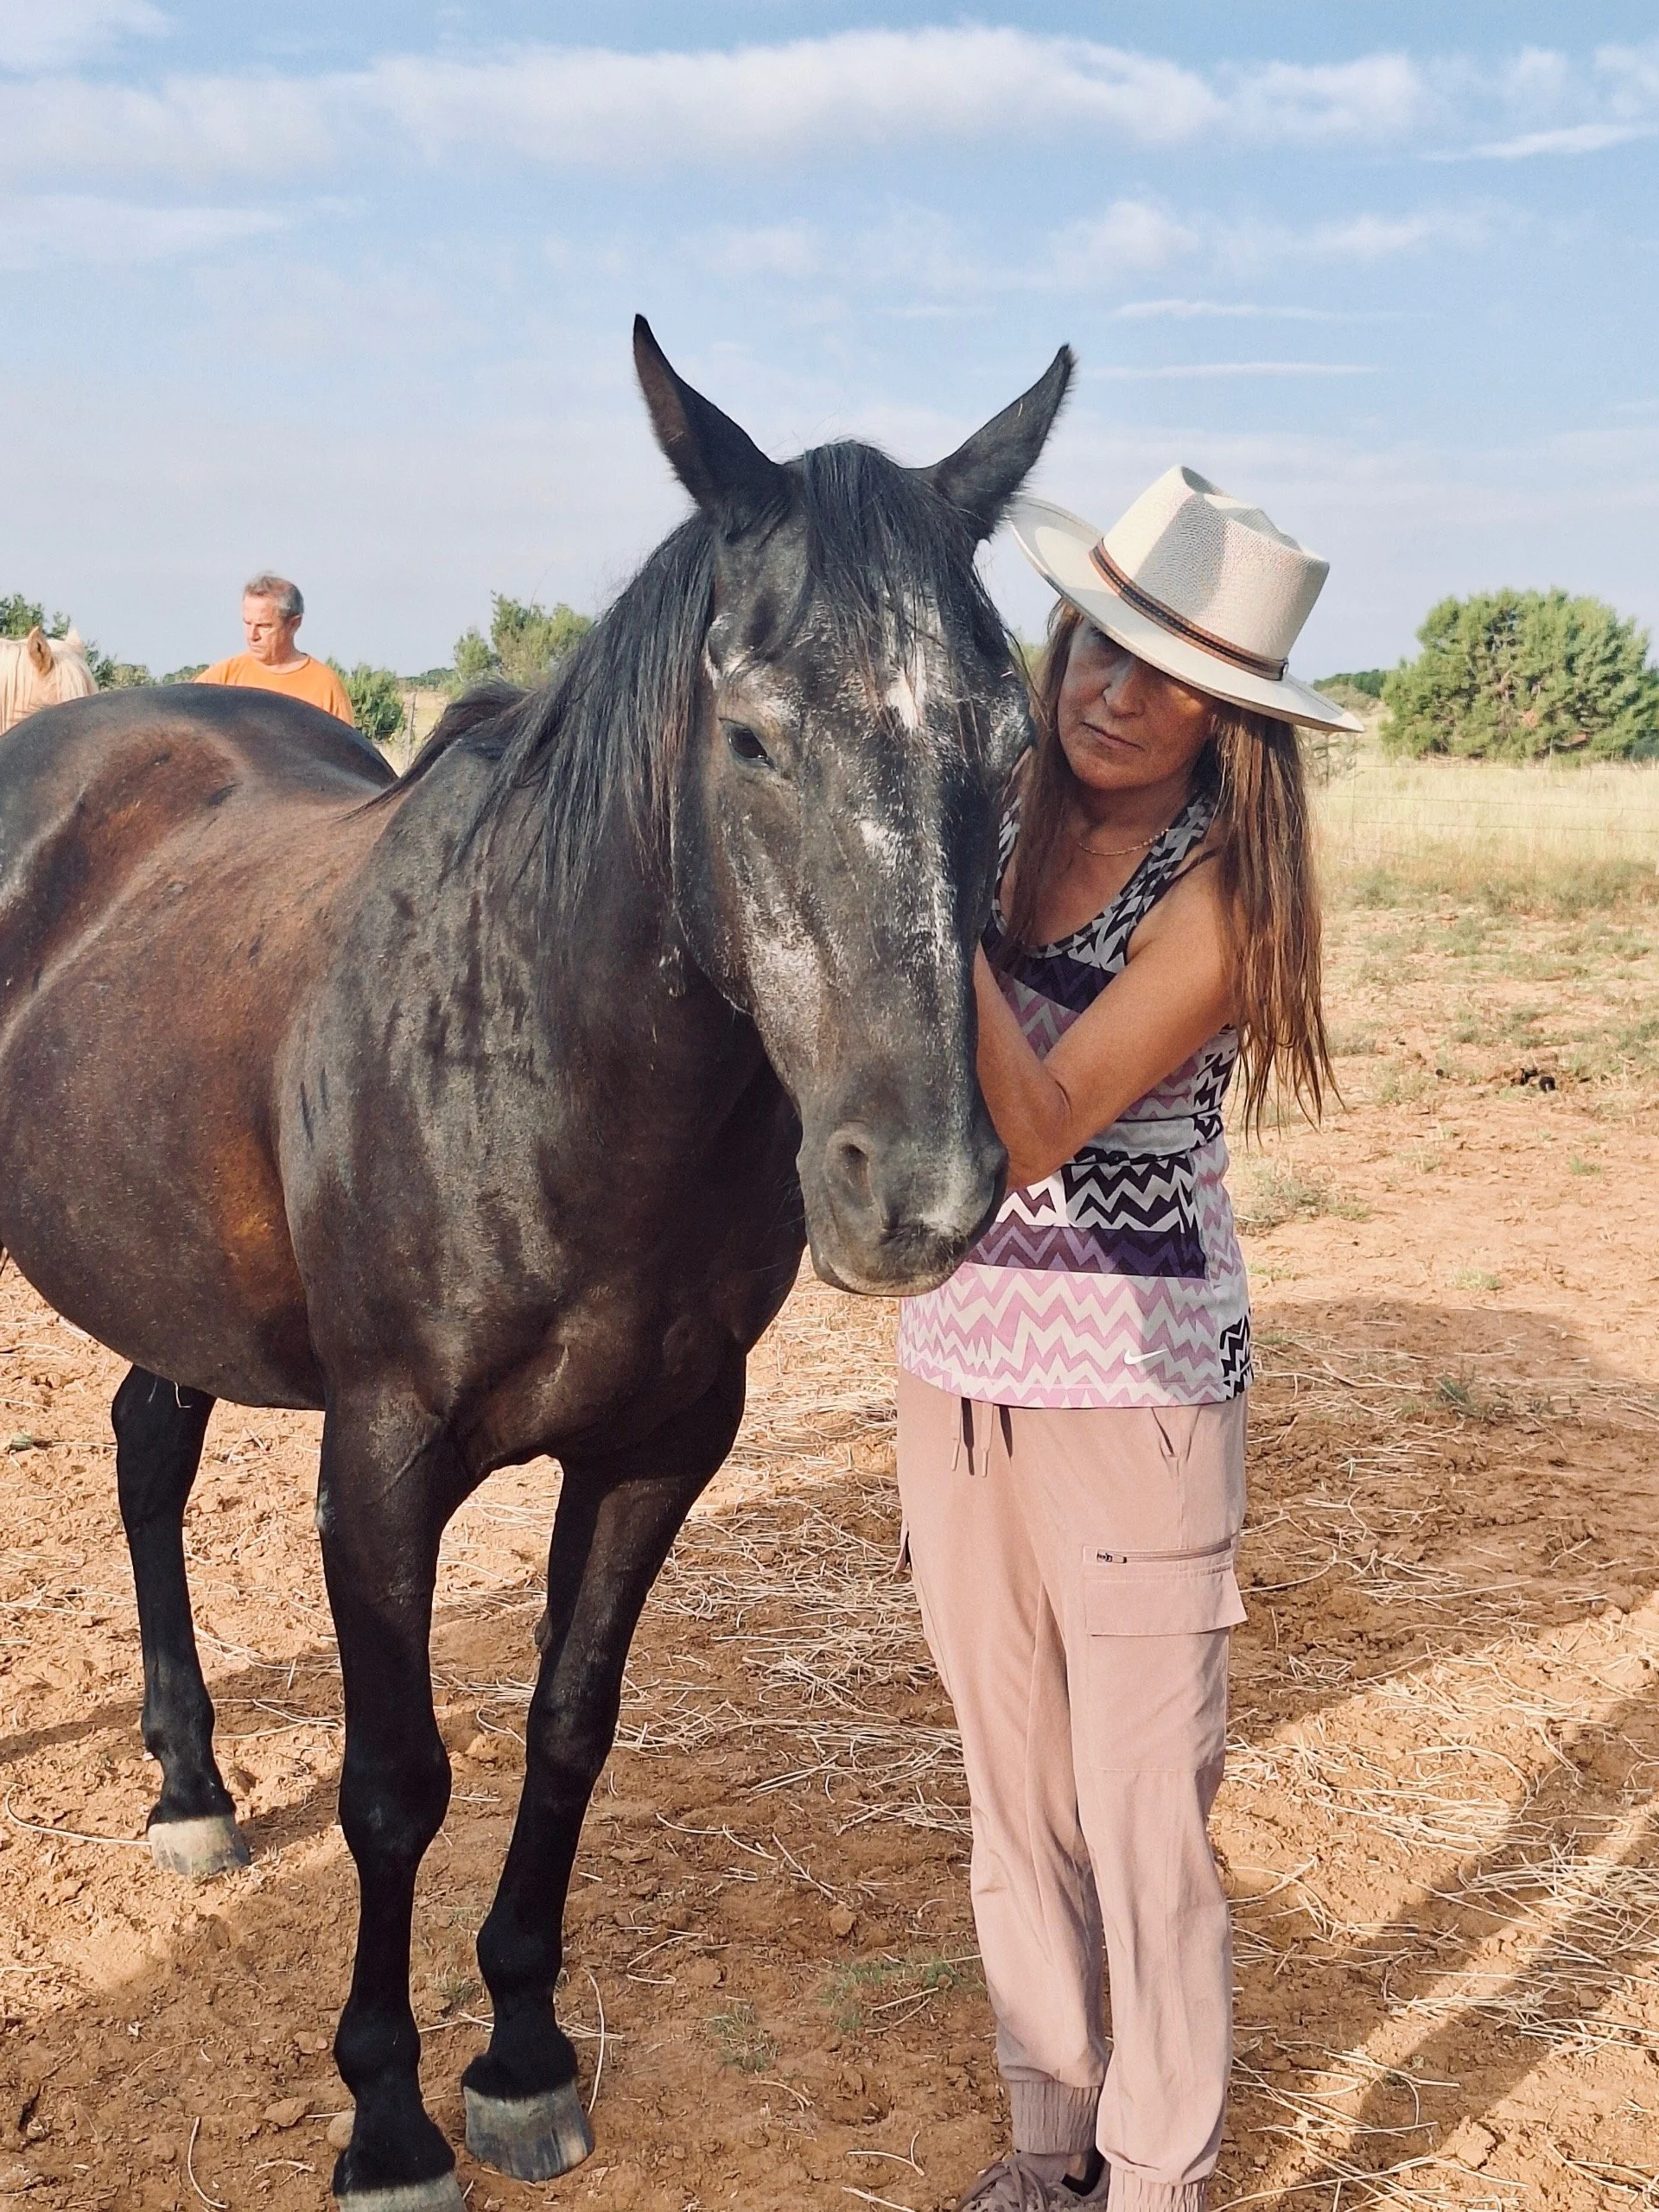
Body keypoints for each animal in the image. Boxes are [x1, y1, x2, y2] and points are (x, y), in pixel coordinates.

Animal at [0, 318, 1071, 2209]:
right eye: (751, 735)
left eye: (1011, 738)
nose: (921, 1190)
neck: (527, 1059)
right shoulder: (380, 1461)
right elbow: (393, 1783)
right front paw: (387, 2115)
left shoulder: (660, 1446)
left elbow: (569, 1729)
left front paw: (518, 2055)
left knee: (144, 1451)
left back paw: (190, 1787)